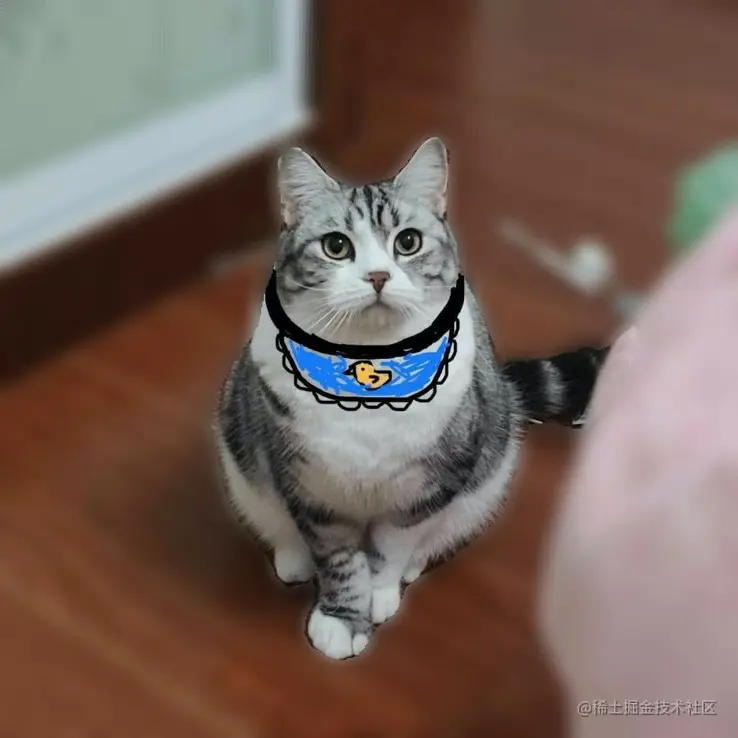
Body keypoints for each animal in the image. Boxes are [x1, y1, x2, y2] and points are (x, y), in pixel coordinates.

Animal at [214, 138, 608, 660]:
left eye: (408, 242)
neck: (369, 371)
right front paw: (342, 617)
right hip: (242, 458)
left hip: (486, 480)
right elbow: (338, 558)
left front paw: (379, 592)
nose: (378, 275)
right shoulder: (309, 487)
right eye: (336, 246)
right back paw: (294, 558)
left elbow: (392, 547)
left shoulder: (429, 488)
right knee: (277, 522)